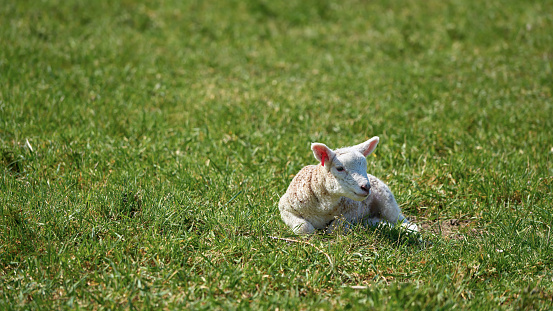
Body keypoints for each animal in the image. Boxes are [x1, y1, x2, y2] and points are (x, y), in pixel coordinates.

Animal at [278, 138, 416, 235]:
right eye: (340, 168)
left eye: (365, 167)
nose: (366, 187)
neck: (323, 207)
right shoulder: (285, 207)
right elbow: (304, 228)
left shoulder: (353, 211)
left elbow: (334, 229)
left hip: (386, 199)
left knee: (398, 218)